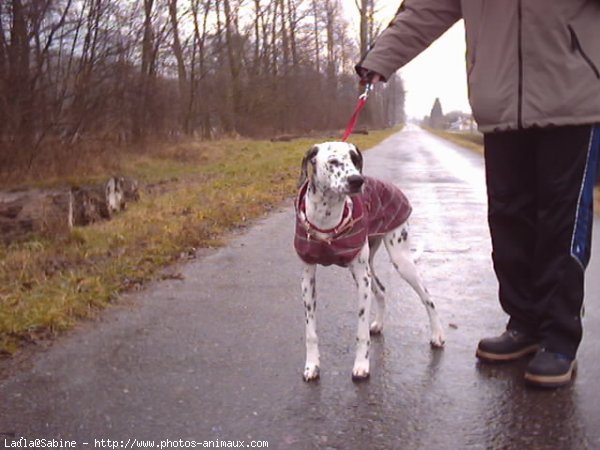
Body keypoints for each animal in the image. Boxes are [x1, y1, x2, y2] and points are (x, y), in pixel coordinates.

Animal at [292, 142, 442, 382]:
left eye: (355, 159)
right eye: (334, 162)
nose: (357, 180)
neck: (326, 219)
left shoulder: (362, 280)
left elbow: (361, 332)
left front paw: (361, 365)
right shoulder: (308, 280)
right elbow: (311, 332)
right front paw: (312, 365)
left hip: (401, 261)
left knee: (427, 297)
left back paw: (437, 334)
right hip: (371, 267)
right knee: (381, 290)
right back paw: (379, 324)